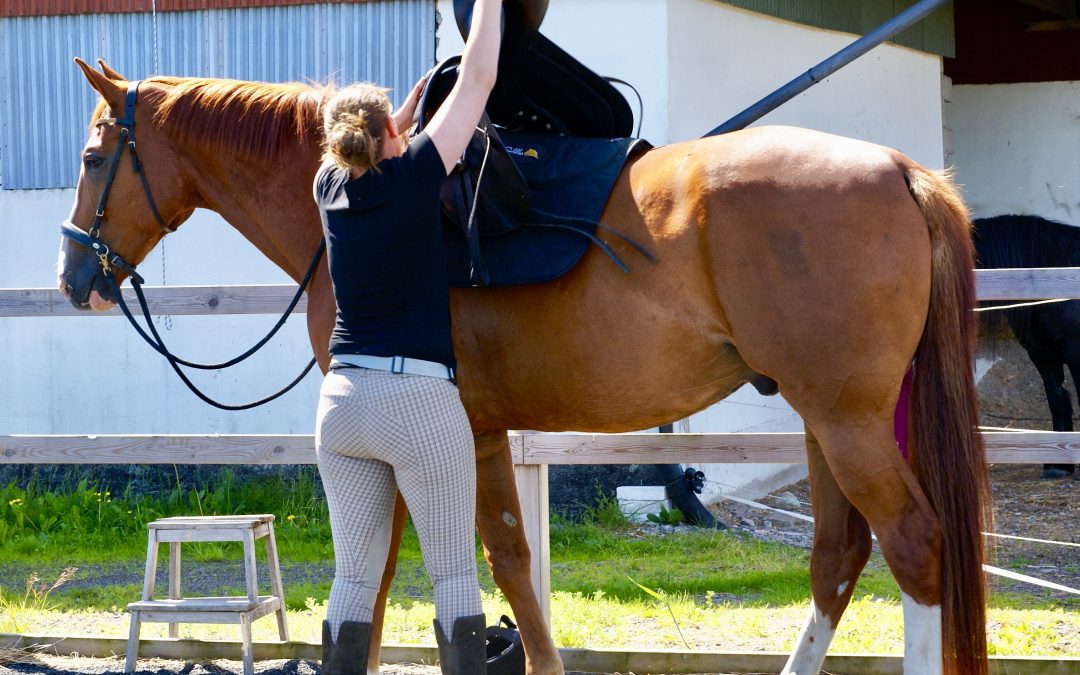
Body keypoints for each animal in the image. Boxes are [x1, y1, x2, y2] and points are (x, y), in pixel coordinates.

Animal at [56, 60, 989, 669]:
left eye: (95, 158)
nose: (73, 276)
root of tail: (900, 169)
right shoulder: (470, 432)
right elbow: (477, 563)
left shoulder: (443, 433)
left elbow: (461, 567)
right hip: (825, 420)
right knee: (839, 557)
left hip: (846, 421)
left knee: (913, 544)